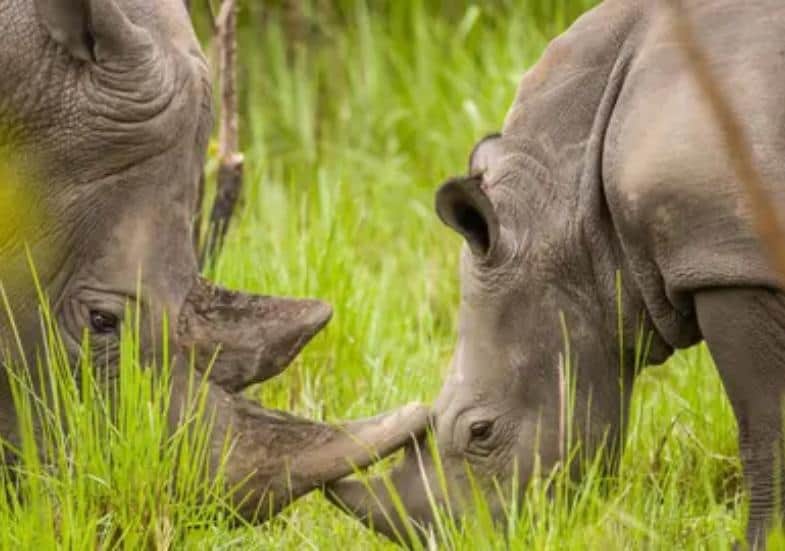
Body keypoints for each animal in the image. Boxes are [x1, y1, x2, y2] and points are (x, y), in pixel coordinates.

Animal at [329, 0, 785, 546]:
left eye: (480, 431)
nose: (467, 540)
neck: (571, 213)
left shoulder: (727, 261)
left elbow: (763, 423)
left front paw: (759, 541)